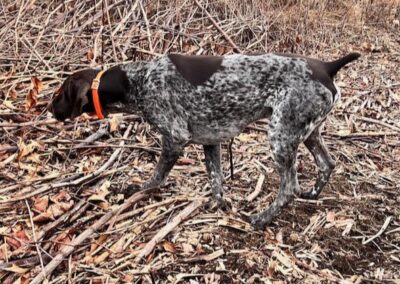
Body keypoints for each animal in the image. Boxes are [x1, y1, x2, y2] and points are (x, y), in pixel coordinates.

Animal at [48, 51, 360, 229]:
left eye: (59, 93)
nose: (49, 110)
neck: (138, 80)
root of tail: (327, 67)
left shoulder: (175, 137)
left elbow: (157, 176)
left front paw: (140, 189)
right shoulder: (211, 140)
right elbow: (216, 179)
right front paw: (217, 206)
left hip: (280, 137)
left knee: (289, 188)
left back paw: (262, 218)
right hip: (307, 133)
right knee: (327, 164)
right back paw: (312, 194)